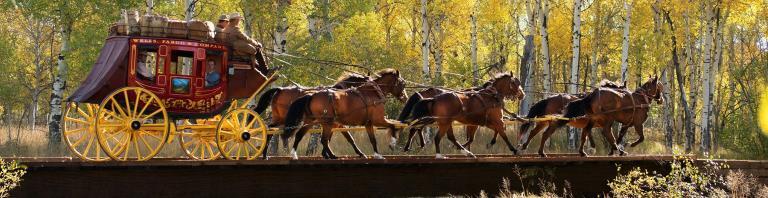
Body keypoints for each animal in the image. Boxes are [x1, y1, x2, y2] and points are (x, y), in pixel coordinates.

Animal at [524, 76, 664, 157]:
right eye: (660, 87)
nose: (661, 99)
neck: (640, 99)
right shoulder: (638, 123)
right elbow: (641, 137)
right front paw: (628, 145)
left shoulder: (624, 124)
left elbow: (587, 135)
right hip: (607, 118)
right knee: (606, 131)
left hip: (545, 121)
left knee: (536, 132)